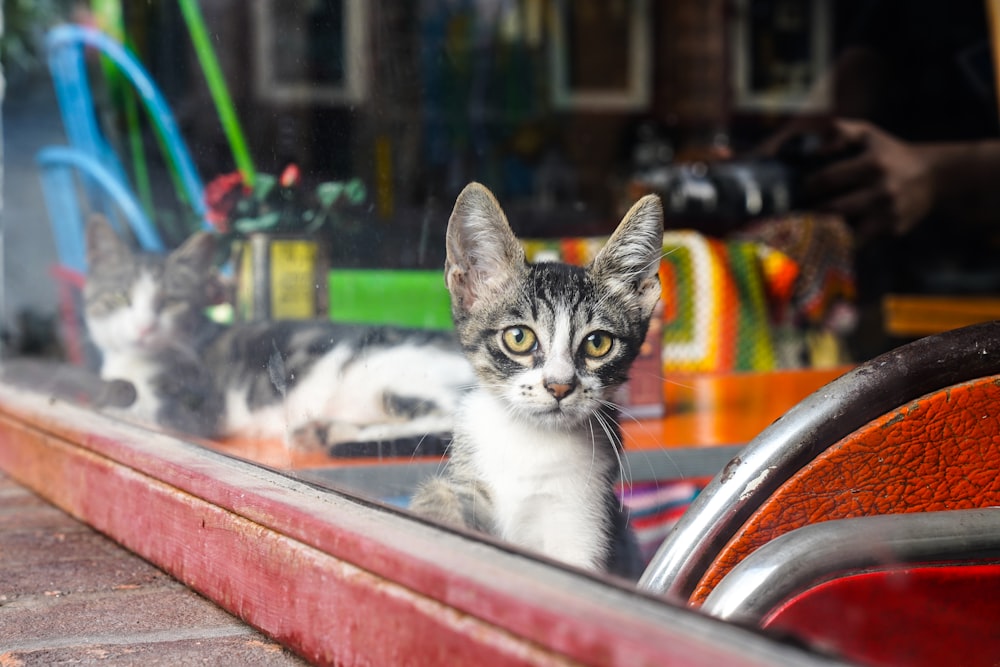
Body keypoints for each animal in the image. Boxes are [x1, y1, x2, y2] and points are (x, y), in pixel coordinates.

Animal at [82, 219, 472, 448]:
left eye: (170, 302)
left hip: (392, 373)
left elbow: (145, 412)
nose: (144, 326)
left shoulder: (198, 406)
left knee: (446, 425)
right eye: (120, 297)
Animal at [408, 184, 664, 580]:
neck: (532, 444)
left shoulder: (586, 515)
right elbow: (450, 498)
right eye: (518, 337)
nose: (559, 386)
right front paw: (435, 512)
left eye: (597, 343)